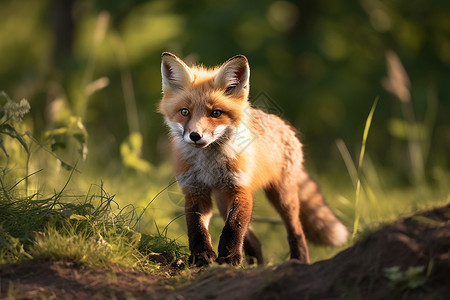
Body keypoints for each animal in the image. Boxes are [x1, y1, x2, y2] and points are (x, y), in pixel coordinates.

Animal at [158, 52, 348, 266]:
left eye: (215, 113)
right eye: (184, 112)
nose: (195, 136)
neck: (210, 164)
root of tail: (283, 124)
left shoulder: (241, 189)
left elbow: (234, 227)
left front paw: (229, 258)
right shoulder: (195, 190)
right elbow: (196, 227)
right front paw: (202, 256)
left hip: (283, 197)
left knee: (296, 231)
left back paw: (299, 260)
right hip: (223, 201)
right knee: (254, 240)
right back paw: (256, 264)